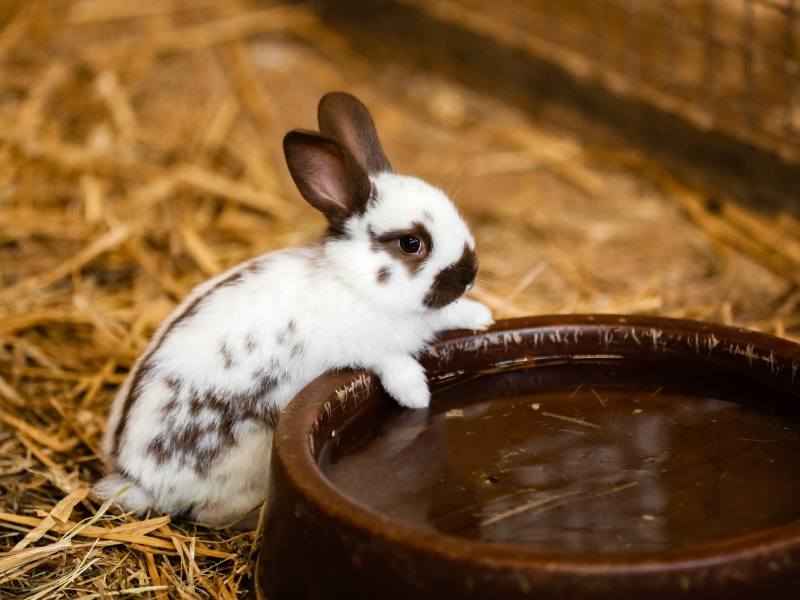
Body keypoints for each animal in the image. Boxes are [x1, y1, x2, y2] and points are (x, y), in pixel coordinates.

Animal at [94, 91, 494, 528]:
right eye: (411, 243)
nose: (469, 274)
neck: (355, 281)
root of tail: (136, 480)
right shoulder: (370, 348)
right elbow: (395, 364)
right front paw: (416, 396)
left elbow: (448, 315)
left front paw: (481, 317)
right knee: (209, 511)